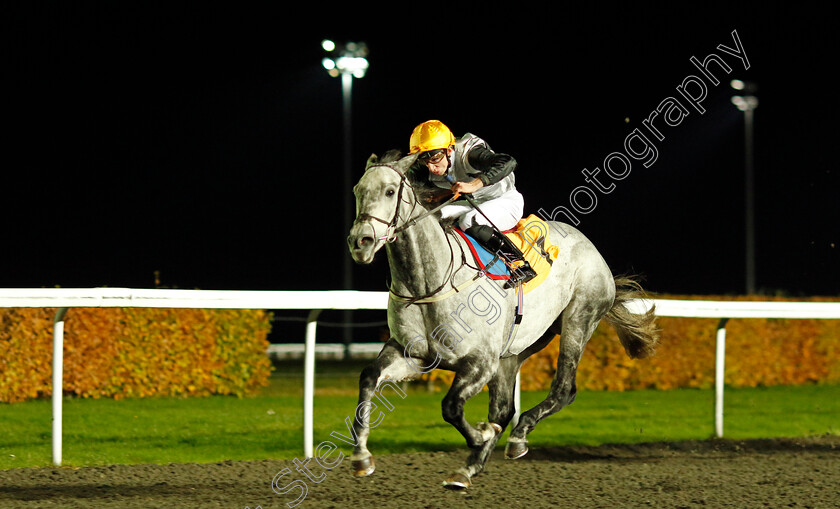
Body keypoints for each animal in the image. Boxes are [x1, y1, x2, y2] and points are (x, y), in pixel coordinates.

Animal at [344, 149, 660, 486]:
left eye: (390, 191)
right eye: (358, 191)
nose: (360, 241)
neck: (431, 283)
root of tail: (590, 246)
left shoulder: (481, 361)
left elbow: (451, 407)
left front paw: (480, 437)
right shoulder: (413, 355)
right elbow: (369, 377)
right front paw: (361, 457)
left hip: (579, 320)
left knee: (562, 390)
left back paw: (518, 436)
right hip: (516, 349)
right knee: (504, 408)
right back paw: (471, 466)